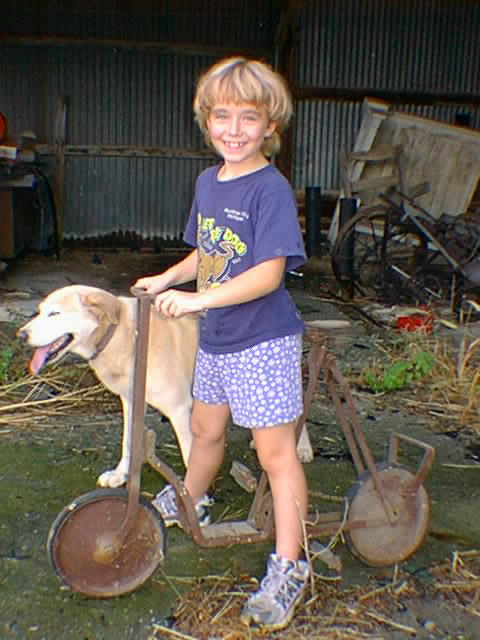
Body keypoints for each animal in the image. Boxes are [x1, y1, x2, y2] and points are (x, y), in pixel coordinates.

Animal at [18, 284, 199, 484]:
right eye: (40, 311)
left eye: (55, 313)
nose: (21, 335)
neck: (121, 336)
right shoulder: (131, 401)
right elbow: (128, 441)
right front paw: (120, 475)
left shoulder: (179, 409)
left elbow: (190, 457)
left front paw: (192, 493)